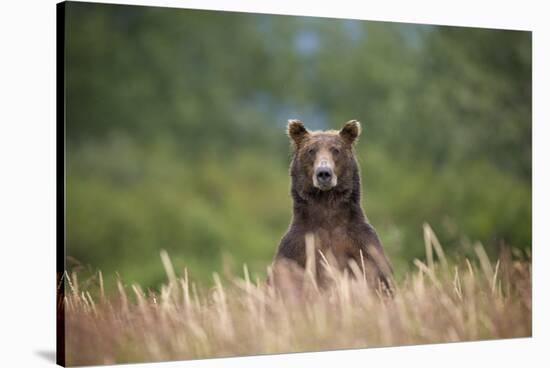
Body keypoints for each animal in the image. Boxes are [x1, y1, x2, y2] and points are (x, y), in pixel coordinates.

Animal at [270, 119, 392, 292]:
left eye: (336, 150)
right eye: (311, 150)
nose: (324, 173)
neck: (326, 203)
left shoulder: (362, 246)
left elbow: (379, 279)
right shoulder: (296, 250)